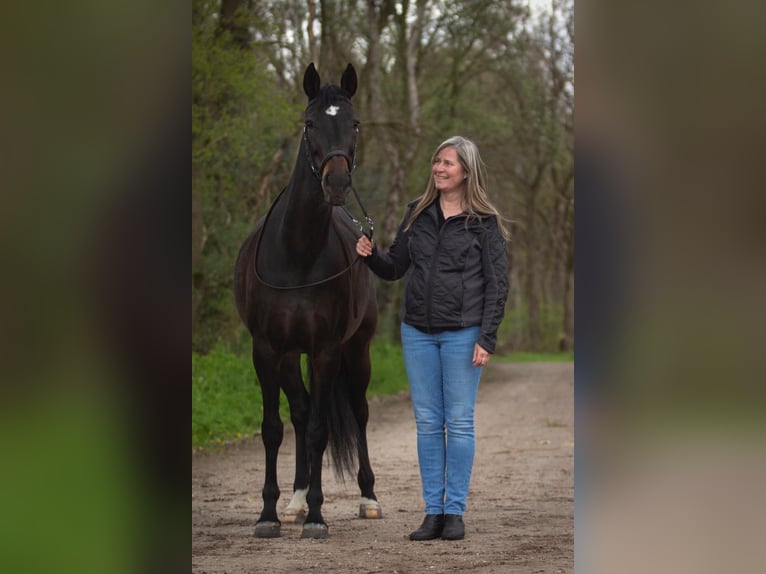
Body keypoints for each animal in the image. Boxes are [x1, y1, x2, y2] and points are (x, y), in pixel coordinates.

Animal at [231, 65, 380, 544]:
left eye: (354, 123)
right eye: (310, 123)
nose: (337, 184)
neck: (297, 253)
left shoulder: (327, 349)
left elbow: (319, 430)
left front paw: (317, 516)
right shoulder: (266, 350)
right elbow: (273, 428)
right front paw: (269, 513)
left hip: (358, 350)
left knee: (357, 411)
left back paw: (367, 497)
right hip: (288, 356)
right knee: (297, 412)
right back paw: (294, 501)